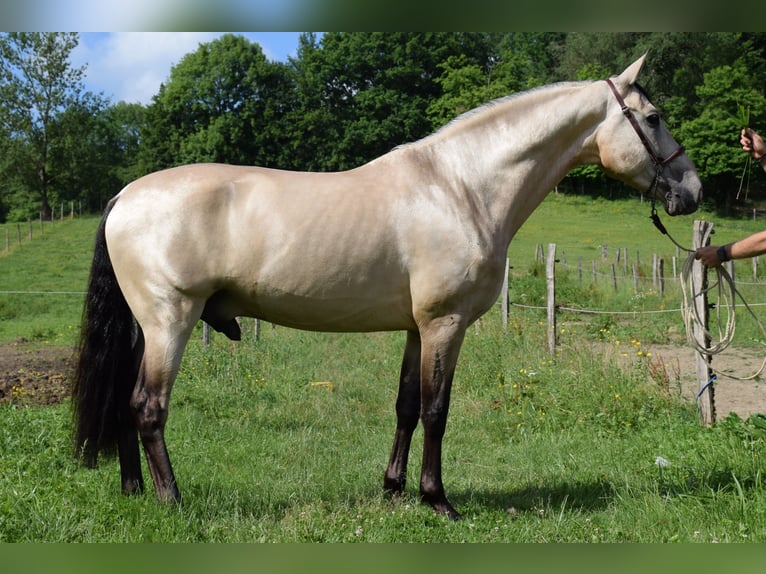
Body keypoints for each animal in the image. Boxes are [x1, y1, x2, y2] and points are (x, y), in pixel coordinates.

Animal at [70, 55, 704, 520]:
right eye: (652, 117)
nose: (691, 191)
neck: (461, 186)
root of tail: (124, 196)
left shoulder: (416, 328)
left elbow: (405, 406)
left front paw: (394, 489)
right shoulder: (445, 324)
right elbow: (437, 410)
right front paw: (438, 500)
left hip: (144, 328)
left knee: (123, 404)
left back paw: (134, 491)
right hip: (169, 322)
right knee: (148, 406)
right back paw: (172, 500)